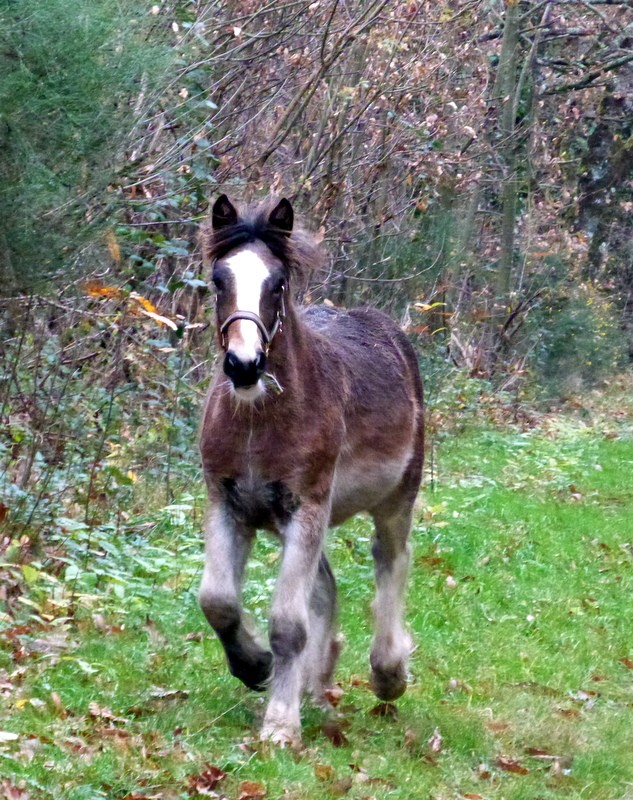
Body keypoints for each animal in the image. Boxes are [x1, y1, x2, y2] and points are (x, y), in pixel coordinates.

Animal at [200, 197, 422, 748]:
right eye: (218, 279)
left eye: (277, 283)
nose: (244, 365)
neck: (259, 422)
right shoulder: (227, 503)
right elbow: (218, 602)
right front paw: (256, 667)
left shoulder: (307, 506)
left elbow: (287, 624)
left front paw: (280, 724)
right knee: (326, 588)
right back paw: (314, 684)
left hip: (395, 497)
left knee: (392, 559)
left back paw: (388, 673)